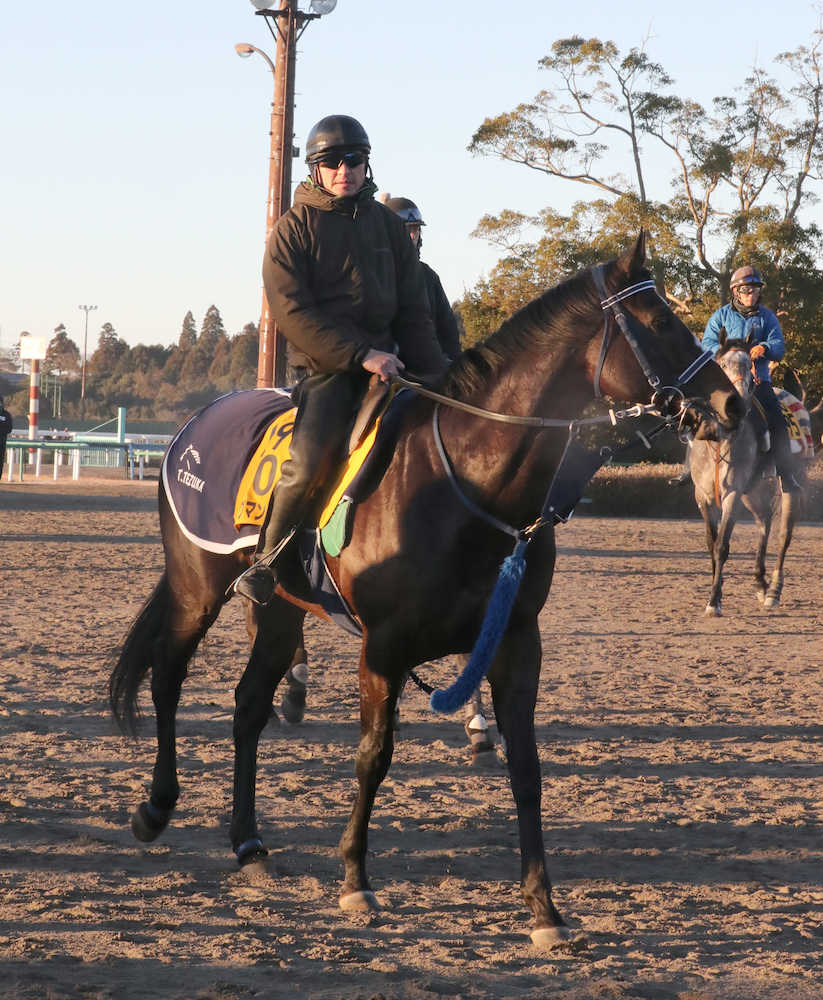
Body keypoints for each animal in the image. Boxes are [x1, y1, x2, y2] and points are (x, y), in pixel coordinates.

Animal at [106, 234, 744, 944]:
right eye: (660, 322)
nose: (732, 405)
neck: (465, 481)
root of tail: (196, 423)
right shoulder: (383, 648)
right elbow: (373, 756)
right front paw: (355, 880)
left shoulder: (516, 643)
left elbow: (527, 769)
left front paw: (543, 908)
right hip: (198, 588)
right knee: (167, 676)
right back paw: (156, 808)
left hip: (279, 613)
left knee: (248, 707)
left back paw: (248, 844)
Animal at [688, 338, 804, 616]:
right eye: (722, 364)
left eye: (749, 364)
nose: (737, 399)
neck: (720, 440)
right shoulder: (702, 496)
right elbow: (711, 543)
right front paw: (716, 593)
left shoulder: (732, 494)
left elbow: (722, 546)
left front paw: (714, 602)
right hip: (752, 494)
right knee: (764, 523)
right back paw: (760, 583)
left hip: (785, 487)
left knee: (783, 535)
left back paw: (773, 591)